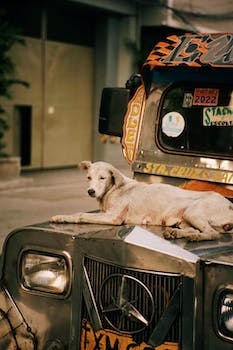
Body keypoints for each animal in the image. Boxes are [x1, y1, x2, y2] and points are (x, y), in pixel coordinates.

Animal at [49, 161, 233, 241]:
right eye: (88, 178)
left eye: (102, 178)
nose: (91, 191)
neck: (114, 189)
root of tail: (230, 204)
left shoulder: (113, 217)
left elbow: (80, 214)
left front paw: (61, 217)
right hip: (184, 219)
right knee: (196, 230)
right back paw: (176, 233)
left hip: (193, 212)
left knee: (212, 234)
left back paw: (195, 237)